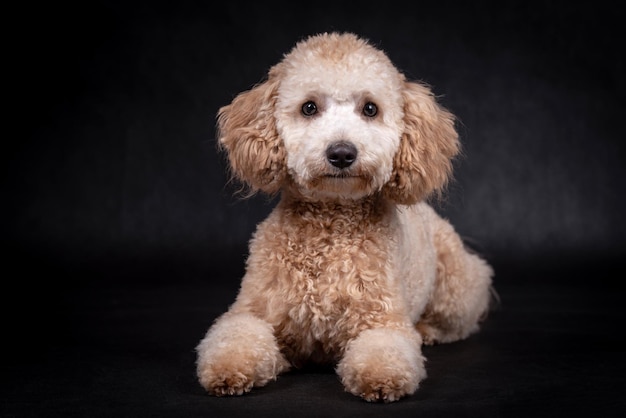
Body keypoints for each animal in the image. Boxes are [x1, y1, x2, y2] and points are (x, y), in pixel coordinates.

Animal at [195, 31, 492, 404]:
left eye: (370, 109)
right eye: (309, 107)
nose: (341, 152)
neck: (330, 225)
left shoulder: (383, 322)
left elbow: (384, 351)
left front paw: (381, 379)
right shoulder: (252, 311)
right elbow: (235, 336)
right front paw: (228, 368)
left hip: (456, 285)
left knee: (462, 320)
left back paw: (428, 330)